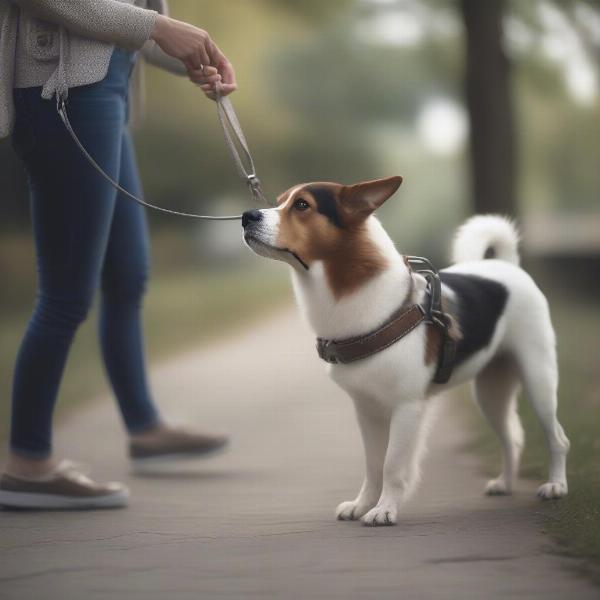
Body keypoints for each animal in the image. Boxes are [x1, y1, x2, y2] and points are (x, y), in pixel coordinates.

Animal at [241, 177, 568, 524]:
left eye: (302, 205)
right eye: (279, 201)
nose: (247, 216)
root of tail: (505, 266)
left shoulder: (406, 407)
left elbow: (392, 465)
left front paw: (384, 509)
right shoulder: (366, 411)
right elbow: (373, 465)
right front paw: (362, 504)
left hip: (538, 379)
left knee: (557, 438)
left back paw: (556, 486)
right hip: (490, 393)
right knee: (511, 439)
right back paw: (505, 483)